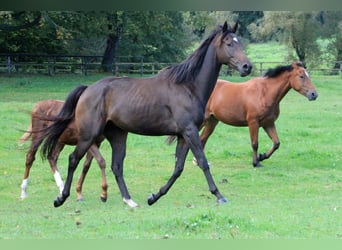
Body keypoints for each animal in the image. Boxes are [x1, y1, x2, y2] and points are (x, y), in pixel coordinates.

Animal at [41, 22, 252, 207]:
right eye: (229, 43)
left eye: (239, 42)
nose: (247, 67)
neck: (188, 86)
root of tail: (87, 89)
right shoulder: (190, 131)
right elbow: (202, 162)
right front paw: (219, 196)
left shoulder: (183, 135)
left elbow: (178, 168)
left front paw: (154, 197)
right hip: (89, 135)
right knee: (73, 159)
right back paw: (61, 198)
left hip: (117, 135)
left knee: (116, 166)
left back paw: (130, 201)